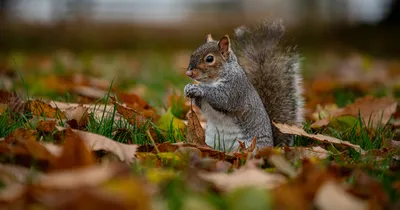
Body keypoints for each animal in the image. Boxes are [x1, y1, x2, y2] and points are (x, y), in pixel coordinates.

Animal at [184, 20, 304, 151]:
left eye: (209, 59)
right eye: (192, 54)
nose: (188, 73)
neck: (211, 81)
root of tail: (272, 146)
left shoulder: (235, 88)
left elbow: (222, 98)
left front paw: (198, 89)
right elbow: (201, 105)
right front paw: (188, 88)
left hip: (252, 145)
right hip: (211, 141)